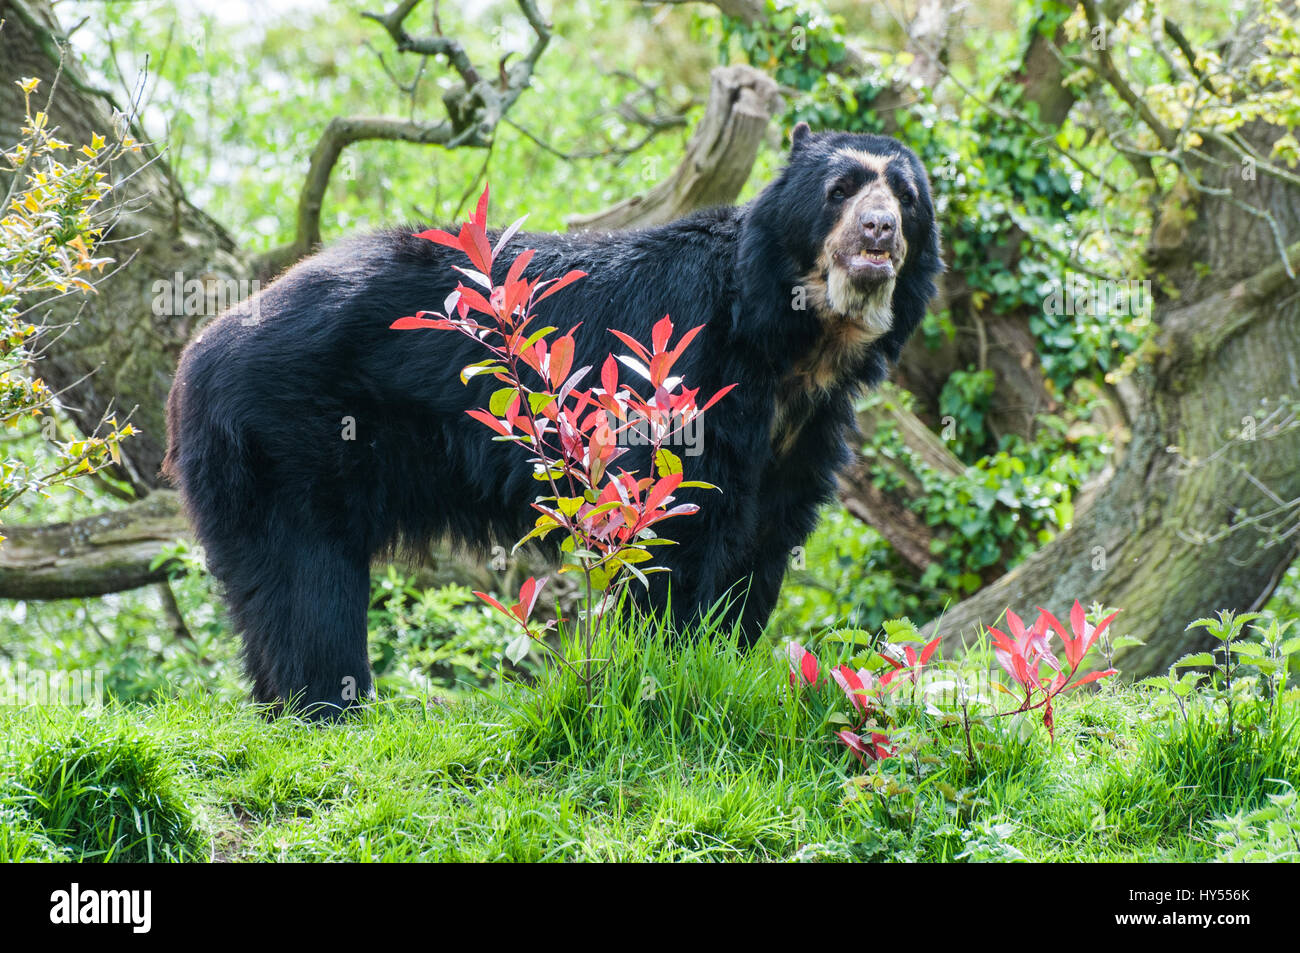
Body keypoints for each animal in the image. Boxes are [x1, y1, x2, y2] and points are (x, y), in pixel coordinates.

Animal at [162, 123, 942, 718]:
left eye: (905, 197)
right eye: (839, 190)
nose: (879, 230)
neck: (799, 342)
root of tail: (202, 348)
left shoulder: (801, 433)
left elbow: (765, 541)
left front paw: (726, 658)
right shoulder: (684, 378)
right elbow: (676, 523)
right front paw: (672, 665)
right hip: (291, 432)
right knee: (308, 577)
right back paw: (326, 704)